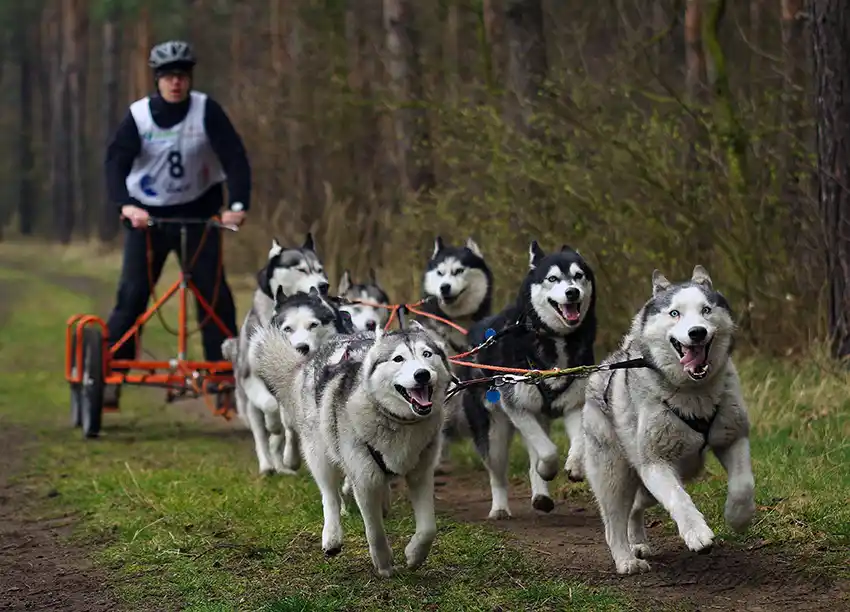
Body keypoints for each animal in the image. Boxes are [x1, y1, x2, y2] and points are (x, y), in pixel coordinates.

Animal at [250, 322, 454, 576]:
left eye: (427, 354)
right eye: (398, 358)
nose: (422, 374)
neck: (397, 421)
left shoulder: (421, 473)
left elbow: (428, 528)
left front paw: (415, 555)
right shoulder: (365, 480)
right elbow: (374, 530)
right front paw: (384, 565)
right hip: (320, 453)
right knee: (330, 495)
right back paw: (332, 536)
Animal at [460, 241, 592, 520]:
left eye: (579, 276)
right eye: (552, 278)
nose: (572, 292)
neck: (553, 340)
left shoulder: (574, 405)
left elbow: (577, 441)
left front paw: (575, 466)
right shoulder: (518, 407)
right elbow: (549, 452)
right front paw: (548, 469)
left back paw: (541, 494)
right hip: (495, 433)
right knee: (497, 473)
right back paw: (500, 508)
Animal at [584, 266, 756, 572]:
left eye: (706, 310)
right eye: (675, 313)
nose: (697, 332)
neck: (694, 394)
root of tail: (606, 364)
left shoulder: (733, 436)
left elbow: (743, 485)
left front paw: (738, 516)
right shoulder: (655, 462)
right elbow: (678, 499)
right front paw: (697, 533)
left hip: (668, 476)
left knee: (636, 507)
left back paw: (638, 541)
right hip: (614, 473)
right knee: (614, 521)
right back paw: (626, 559)